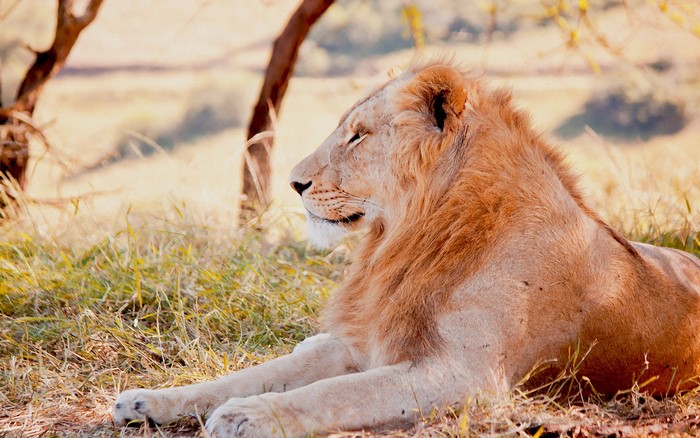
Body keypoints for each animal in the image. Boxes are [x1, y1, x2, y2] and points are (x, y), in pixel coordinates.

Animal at [114, 61, 700, 437]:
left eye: (357, 135)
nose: (294, 183)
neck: (406, 240)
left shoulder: (466, 378)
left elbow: (329, 394)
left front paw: (247, 416)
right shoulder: (363, 345)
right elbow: (251, 375)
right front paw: (150, 401)